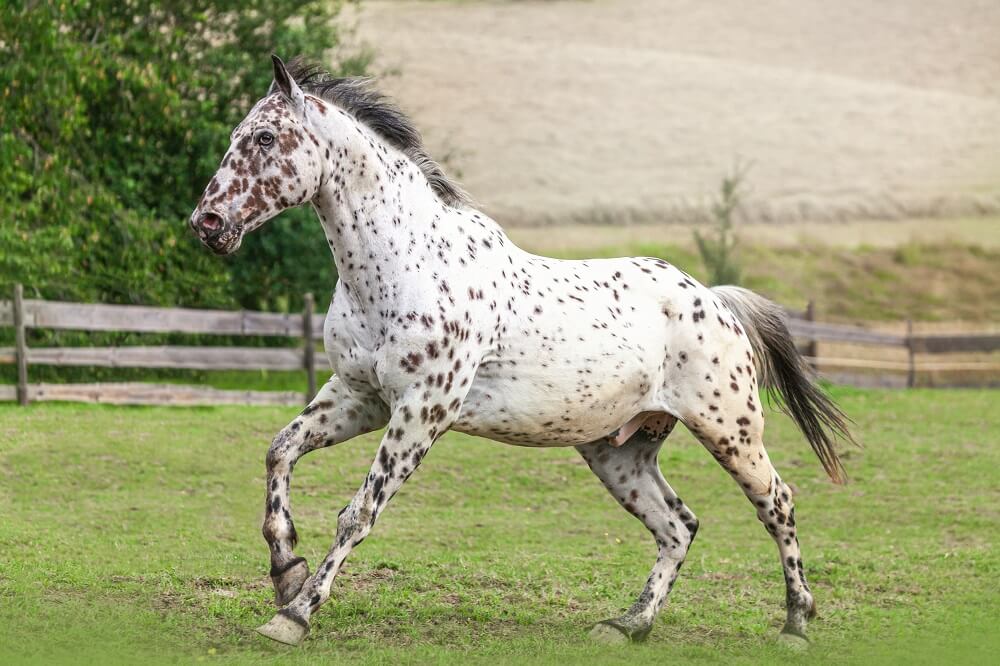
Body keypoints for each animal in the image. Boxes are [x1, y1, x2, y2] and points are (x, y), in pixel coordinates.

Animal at [191, 57, 856, 648]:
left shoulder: (421, 412)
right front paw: (286, 573)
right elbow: (280, 450)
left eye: (265, 137)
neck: (404, 265)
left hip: (729, 430)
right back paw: (627, 625)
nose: (208, 223)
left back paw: (796, 624)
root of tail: (714, 300)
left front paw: (294, 615)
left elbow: (358, 512)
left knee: (777, 503)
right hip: (619, 451)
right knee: (678, 526)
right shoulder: (360, 397)